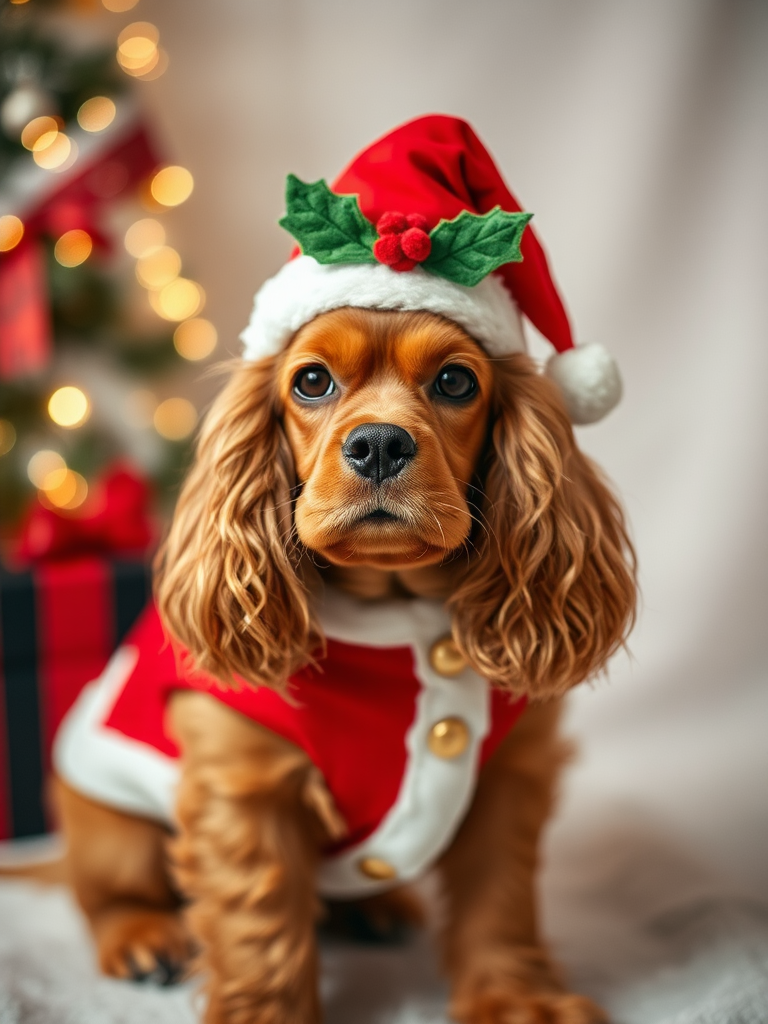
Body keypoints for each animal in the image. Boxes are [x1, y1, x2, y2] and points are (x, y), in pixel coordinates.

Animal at [51, 305, 634, 1024]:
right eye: (311, 381)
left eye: (455, 381)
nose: (379, 443)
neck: (394, 604)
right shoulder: (245, 791)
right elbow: (260, 929)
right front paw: (262, 1015)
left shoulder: (512, 774)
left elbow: (500, 899)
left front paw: (520, 1000)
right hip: (110, 826)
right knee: (105, 894)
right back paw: (142, 936)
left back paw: (378, 907)